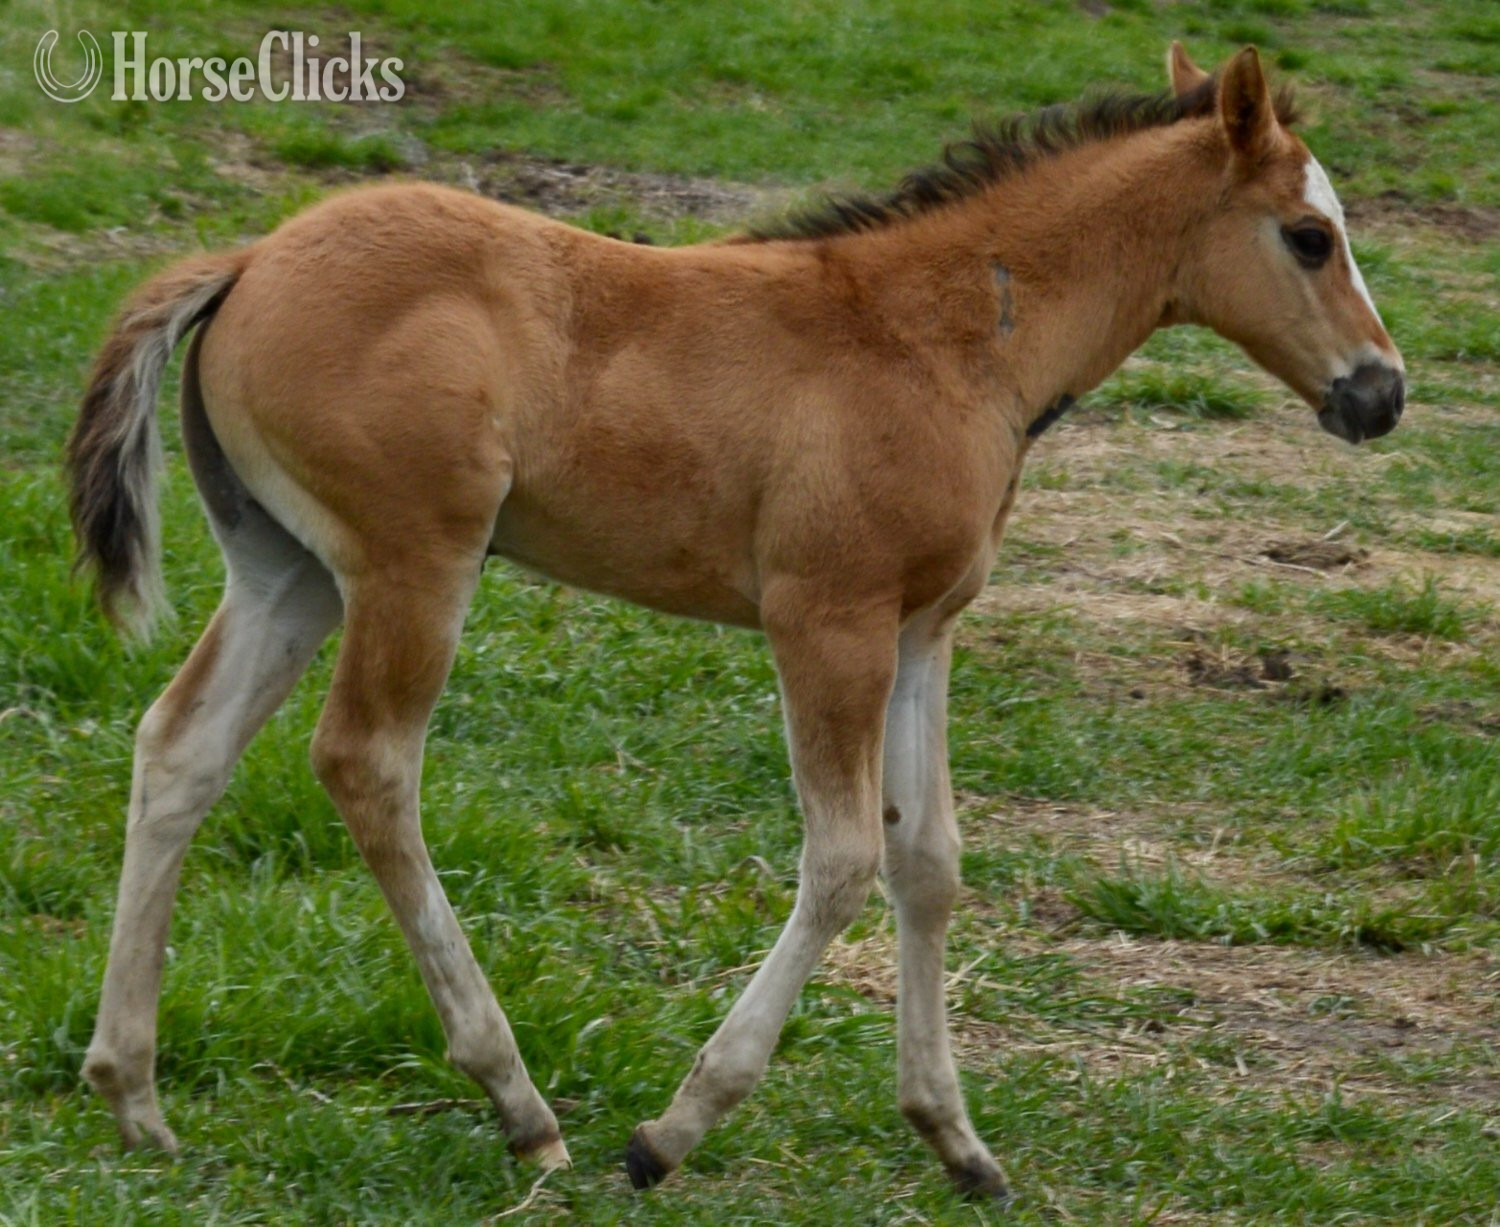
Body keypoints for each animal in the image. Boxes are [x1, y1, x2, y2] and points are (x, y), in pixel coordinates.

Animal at [66, 44, 1403, 1200]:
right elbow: (846, 859)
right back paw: (520, 1105)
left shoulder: (923, 629)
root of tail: (249, 258)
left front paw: (957, 1141)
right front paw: (673, 1130)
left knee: (180, 748)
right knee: (367, 763)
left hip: (286, 569)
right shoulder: (828, 620)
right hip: (415, 562)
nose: (1381, 392)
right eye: (1310, 236)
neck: (948, 334)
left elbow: (931, 863)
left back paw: (133, 1095)